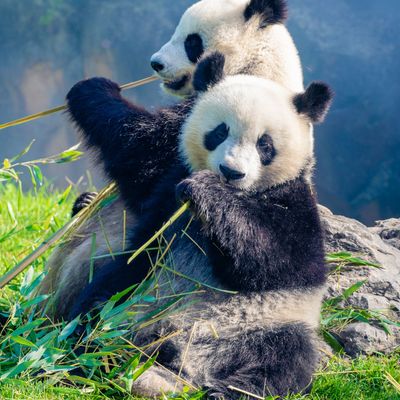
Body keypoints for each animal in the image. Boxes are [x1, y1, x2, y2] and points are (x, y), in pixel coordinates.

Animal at [39, 0, 304, 318]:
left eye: (192, 42)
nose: (156, 63)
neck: (260, 67)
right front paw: (85, 199)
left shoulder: (227, 116)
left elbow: (145, 156)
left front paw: (92, 87)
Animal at [65, 52, 332, 396]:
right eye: (219, 132)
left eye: (265, 145)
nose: (231, 172)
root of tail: (187, 363)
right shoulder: (168, 184)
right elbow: (138, 156)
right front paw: (93, 89)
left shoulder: (295, 204)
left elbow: (275, 260)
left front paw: (206, 190)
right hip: (137, 293)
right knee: (98, 308)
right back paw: (85, 356)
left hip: (270, 323)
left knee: (285, 359)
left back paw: (227, 392)